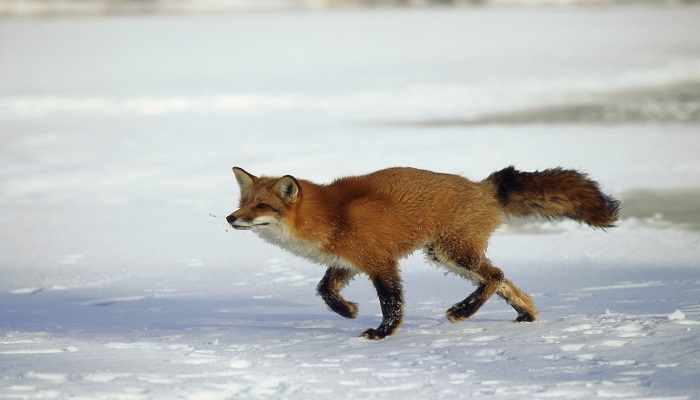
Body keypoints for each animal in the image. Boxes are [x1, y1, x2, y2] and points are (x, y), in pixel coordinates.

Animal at [227, 166, 620, 340]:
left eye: (261, 206)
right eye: (243, 203)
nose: (231, 218)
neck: (331, 215)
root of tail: (484, 186)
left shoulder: (380, 262)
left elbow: (392, 303)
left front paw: (382, 333)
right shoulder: (349, 261)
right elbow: (325, 289)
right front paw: (347, 310)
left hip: (453, 254)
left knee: (495, 277)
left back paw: (463, 311)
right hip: (446, 256)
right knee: (506, 281)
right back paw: (526, 315)